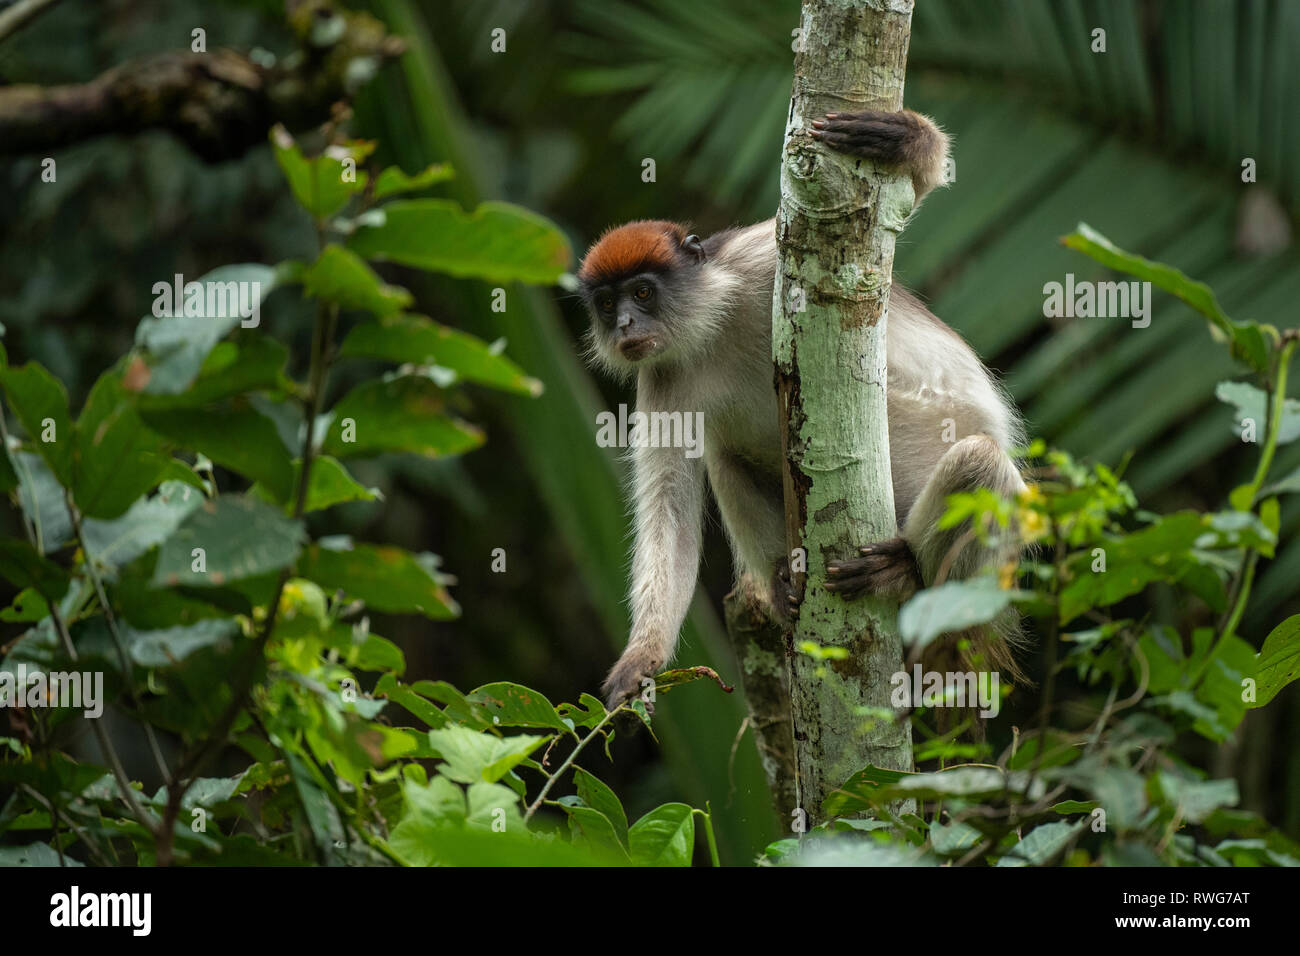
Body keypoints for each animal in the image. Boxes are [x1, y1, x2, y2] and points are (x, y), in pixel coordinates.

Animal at [577, 111, 1024, 712]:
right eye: (607, 304)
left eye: (643, 293)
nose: (625, 324)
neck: (709, 331)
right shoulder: (662, 376)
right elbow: (669, 508)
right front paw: (641, 659)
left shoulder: (760, 261)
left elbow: (889, 218)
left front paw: (907, 142)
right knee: (725, 455)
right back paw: (785, 588)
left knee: (979, 459)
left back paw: (907, 574)